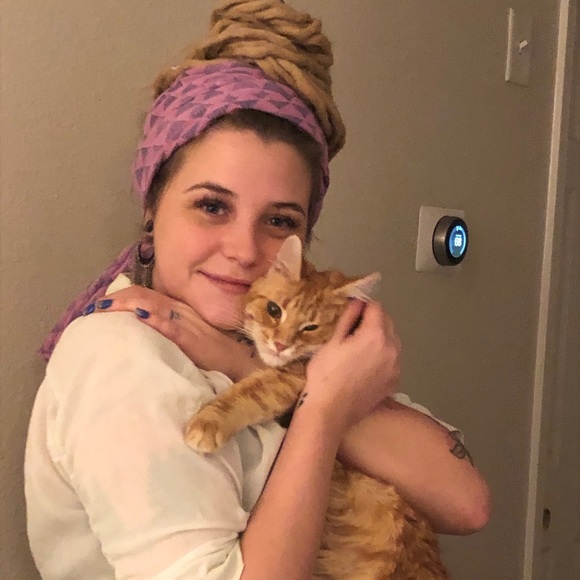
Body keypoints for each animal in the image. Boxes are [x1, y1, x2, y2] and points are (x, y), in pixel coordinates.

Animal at [185, 236, 449, 579]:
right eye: (274, 310)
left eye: (310, 327)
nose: (280, 345)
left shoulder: (291, 380)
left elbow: (248, 394)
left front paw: (207, 423)